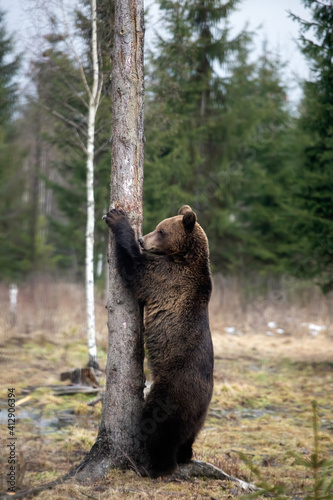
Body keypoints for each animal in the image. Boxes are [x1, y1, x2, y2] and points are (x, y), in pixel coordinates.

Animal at [103, 205, 213, 478]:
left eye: (161, 231)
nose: (143, 240)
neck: (184, 257)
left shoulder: (168, 278)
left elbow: (135, 268)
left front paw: (117, 218)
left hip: (172, 392)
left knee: (158, 427)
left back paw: (154, 467)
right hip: (198, 415)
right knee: (189, 436)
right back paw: (185, 455)